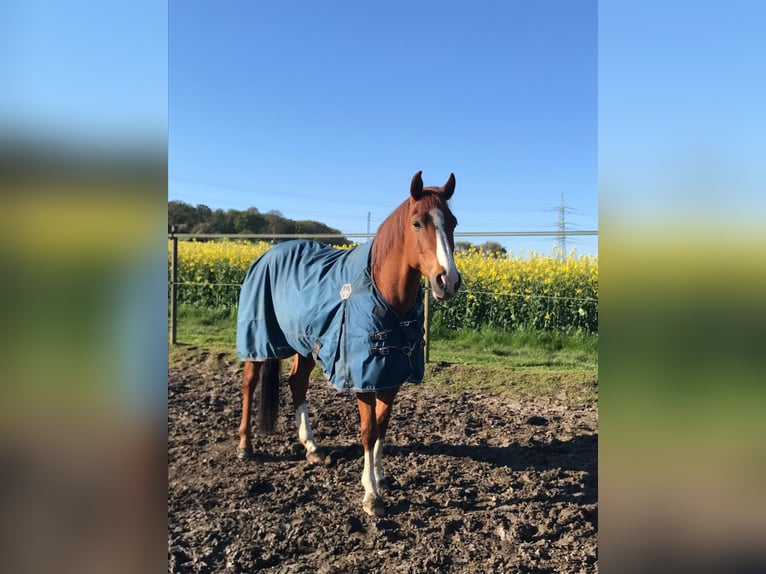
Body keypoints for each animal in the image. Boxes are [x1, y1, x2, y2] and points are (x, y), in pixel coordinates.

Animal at [236, 171, 462, 516]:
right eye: (417, 223)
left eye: (452, 222)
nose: (447, 281)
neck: (383, 292)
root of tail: (267, 254)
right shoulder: (363, 378)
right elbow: (368, 431)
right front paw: (371, 494)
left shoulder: (390, 374)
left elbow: (382, 426)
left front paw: (381, 478)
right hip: (259, 340)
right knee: (250, 382)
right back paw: (245, 445)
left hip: (306, 344)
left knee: (297, 383)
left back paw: (312, 448)